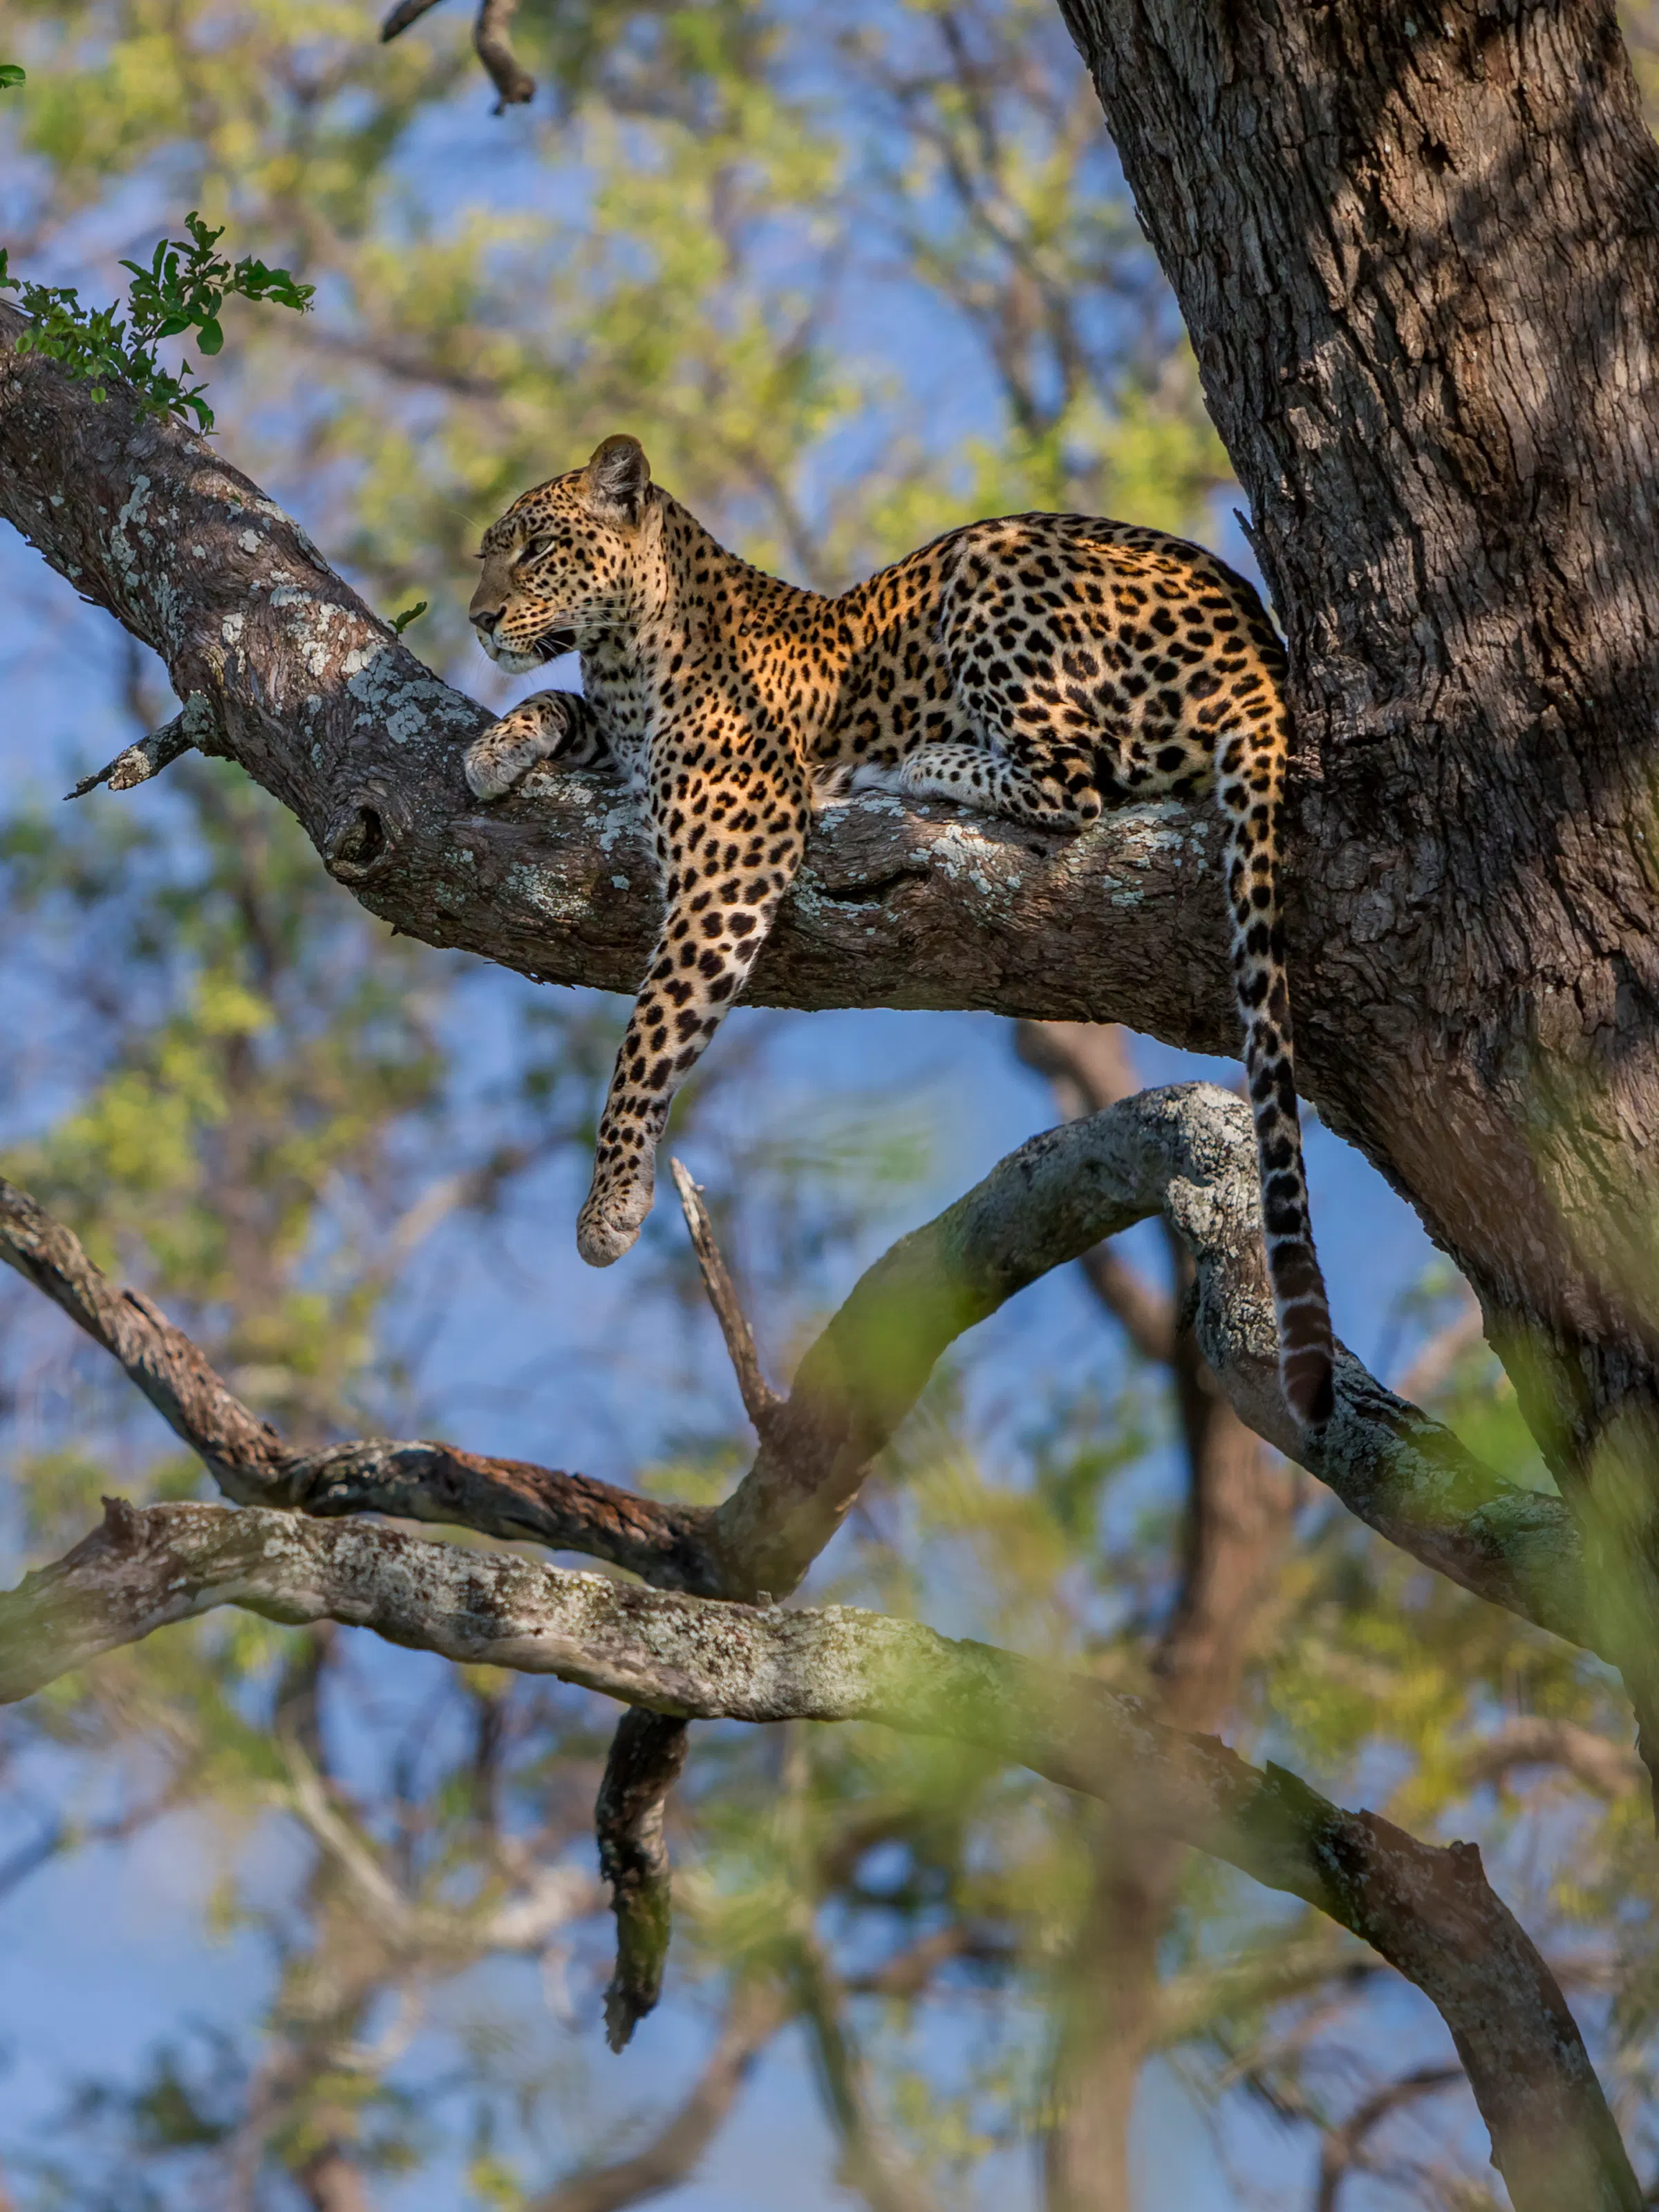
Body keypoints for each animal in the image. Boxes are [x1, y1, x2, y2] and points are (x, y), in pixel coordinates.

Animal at [465, 434, 1334, 1428]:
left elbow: (647, 1036)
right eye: (492, 553)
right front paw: (495, 748)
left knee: (1075, 787)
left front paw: (608, 1202)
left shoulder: (734, 859)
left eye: (536, 549)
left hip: (993, 566)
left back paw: (925, 762)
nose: (477, 620)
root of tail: (1258, 649)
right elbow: (557, 707)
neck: (622, 658)